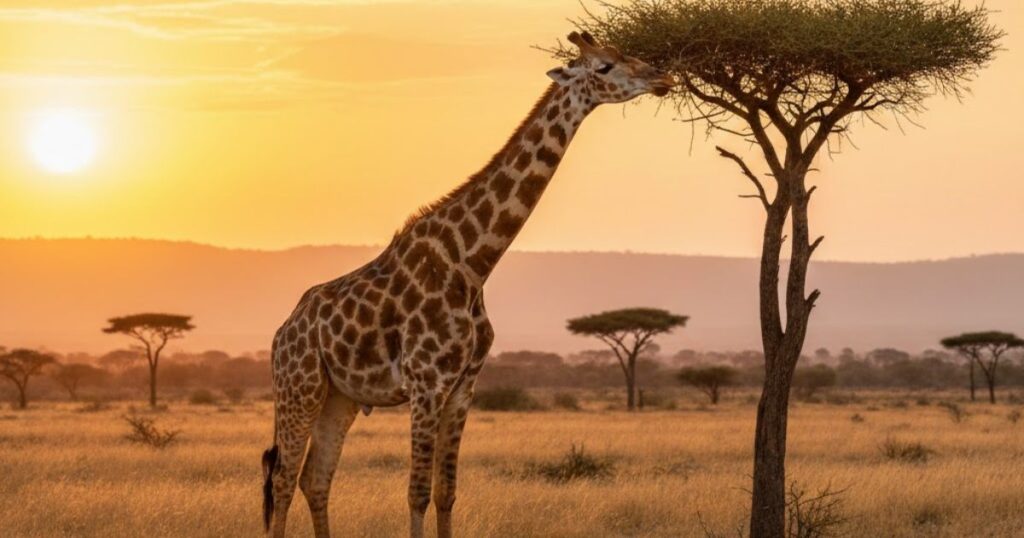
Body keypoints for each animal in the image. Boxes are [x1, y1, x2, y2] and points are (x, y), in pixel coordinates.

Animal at [261, 31, 674, 538]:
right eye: (603, 66)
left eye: (621, 54)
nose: (662, 77)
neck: (473, 265)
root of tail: (282, 332)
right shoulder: (426, 383)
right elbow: (417, 492)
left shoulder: (463, 387)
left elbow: (446, 492)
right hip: (298, 387)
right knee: (283, 478)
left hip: (338, 397)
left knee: (315, 479)